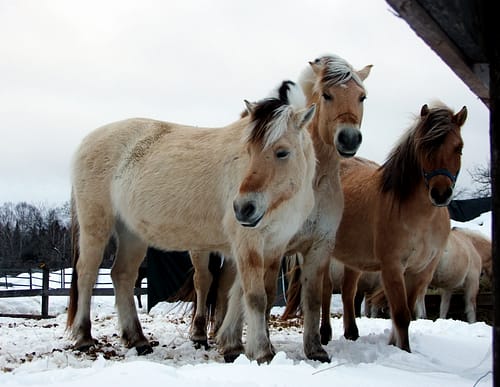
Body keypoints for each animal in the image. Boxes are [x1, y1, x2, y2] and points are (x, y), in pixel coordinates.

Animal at [66, 88, 316, 364]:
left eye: (282, 152)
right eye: (248, 150)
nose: (243, 208)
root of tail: (87, 141)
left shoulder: (273, 246)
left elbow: (255, 295)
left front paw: (235, 345)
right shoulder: (247, 242)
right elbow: (255, 297)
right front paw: (262, 352)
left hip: (131, 233)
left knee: (123, 275)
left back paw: (137, 339)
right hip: (95, 225)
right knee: (87, 274)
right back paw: (84, 338)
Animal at [215, 54, 372, 364]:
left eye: (362, 97)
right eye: (327, 94)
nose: (349, 138)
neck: (313, 181)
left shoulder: (320, 245)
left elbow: (313, 297)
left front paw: (316, 348)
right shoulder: (275, 246)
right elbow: (263, 295)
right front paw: (264, 347)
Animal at [286, 101, 468, 354]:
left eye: (459, 147)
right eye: (423, 147)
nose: (440, 193)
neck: (421, 217)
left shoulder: (422, 271)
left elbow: (405, 311)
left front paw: (394, 344)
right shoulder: (392, 267)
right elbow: (401, 314)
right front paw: (404, 351)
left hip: (353, 259)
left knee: (348, 292)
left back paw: (351, 333)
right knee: (326, 291)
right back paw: (325, 333)